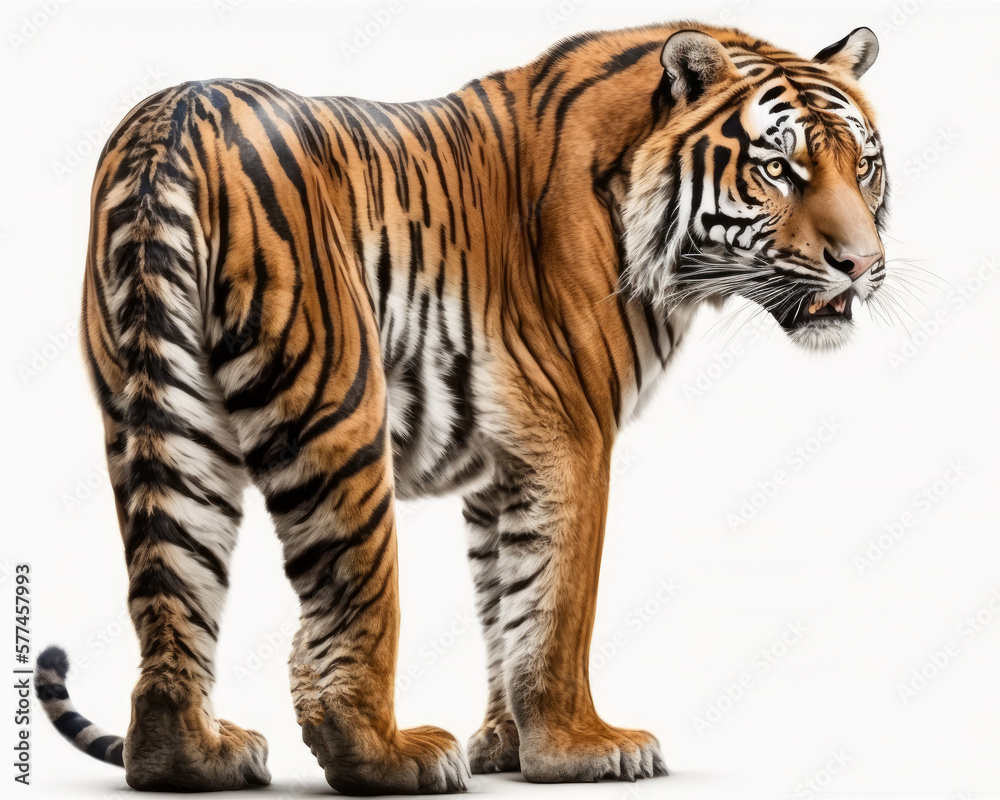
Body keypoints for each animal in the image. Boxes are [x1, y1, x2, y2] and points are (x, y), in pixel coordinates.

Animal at [35, 21, 887, 794]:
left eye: (865, 167)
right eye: (779, 168)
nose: (863, 265)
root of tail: (176, 116)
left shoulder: (504, 460)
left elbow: (507, 601)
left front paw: (508, 746)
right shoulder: (575, 436)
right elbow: (559, 607)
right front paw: (580, 749)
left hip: (168, 422)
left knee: (172, 600)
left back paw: (199, 760)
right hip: (340, 405)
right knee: (349, 605)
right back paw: (394, 757)